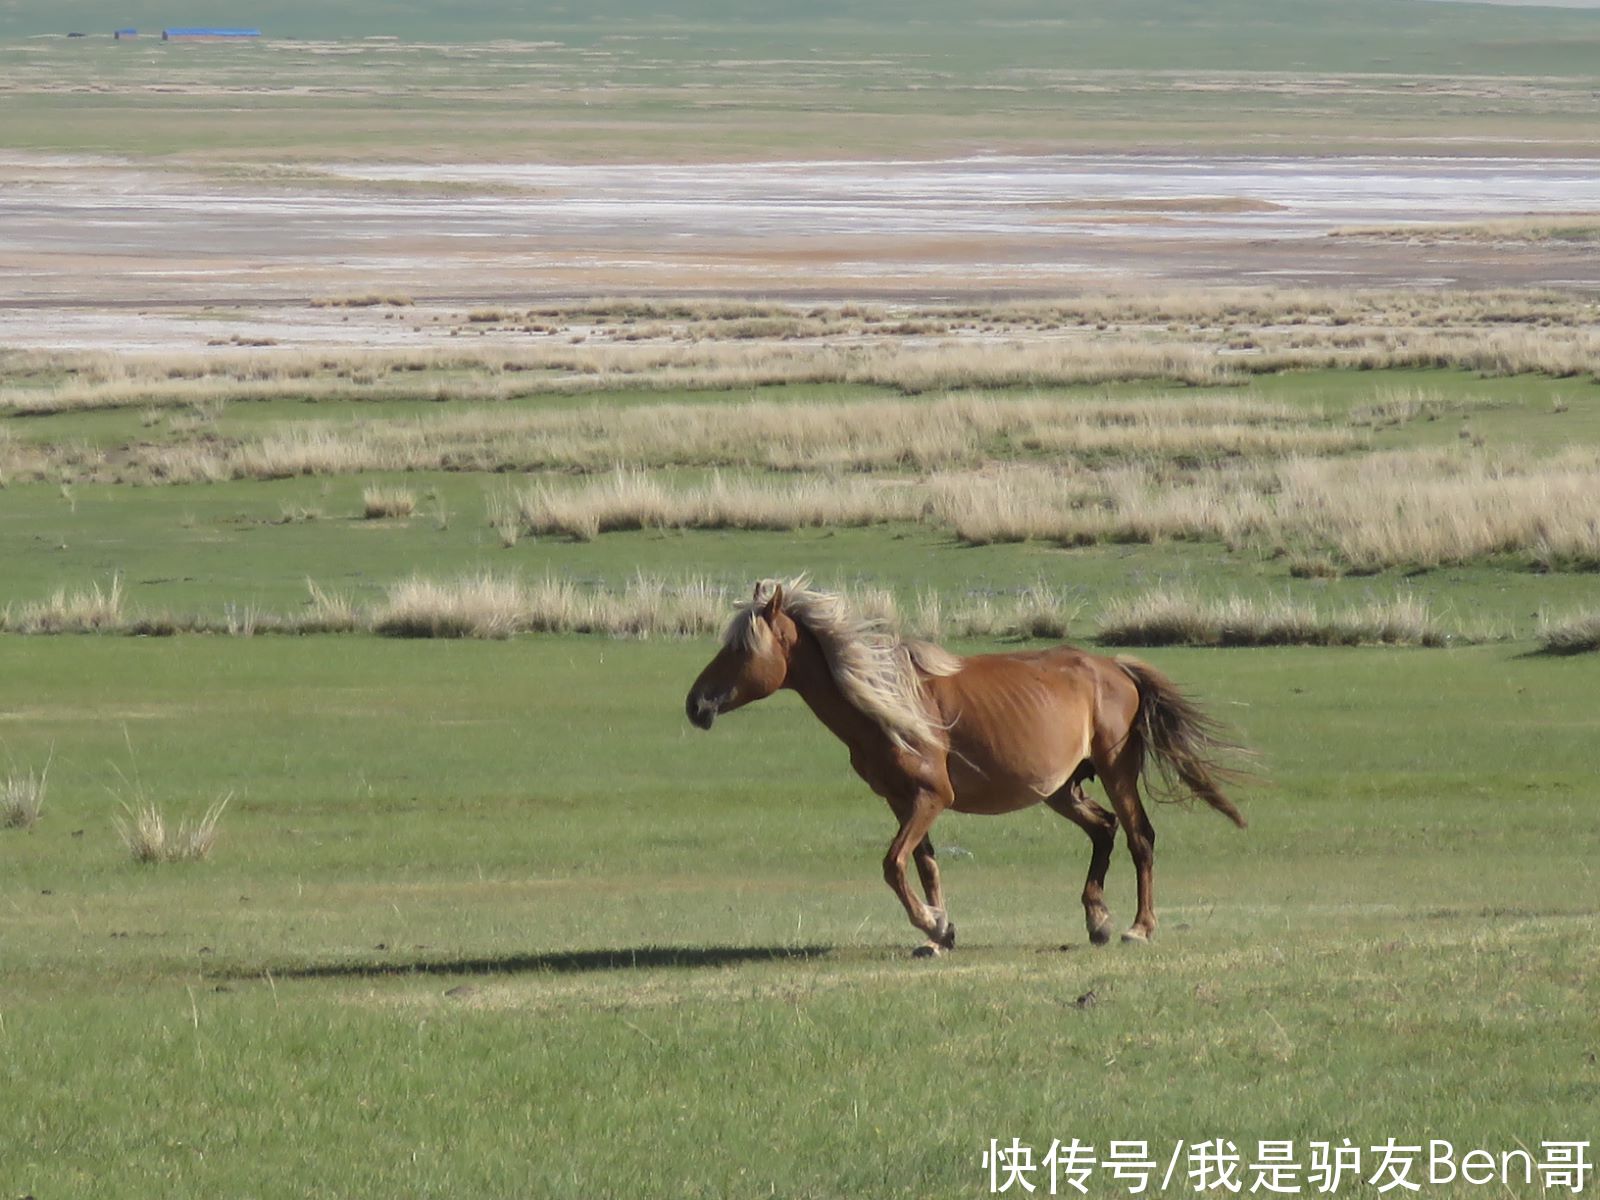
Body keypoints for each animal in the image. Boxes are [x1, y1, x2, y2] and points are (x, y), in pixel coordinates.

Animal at [681, 582, 1241, 960]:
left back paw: (1138, 928)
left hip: (1115, 770)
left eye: (740, 648)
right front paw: (940, 933)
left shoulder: (931, 797)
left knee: (1139, 837)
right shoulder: (904, 801)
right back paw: (1097, 920)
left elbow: (893, 864)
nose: (695, 704)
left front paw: (931, 925)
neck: (890, 704)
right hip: (1060, 789)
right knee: (1104, 830)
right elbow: (923, 864)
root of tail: (1116, 668)